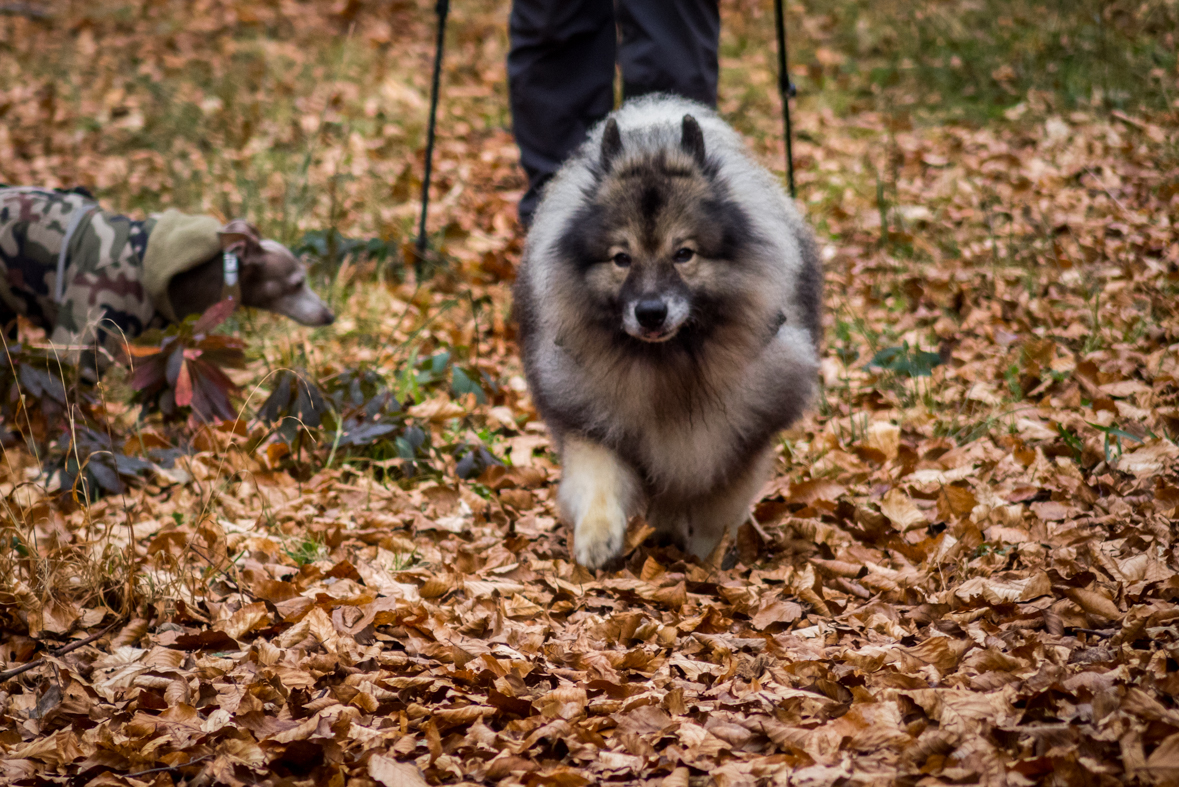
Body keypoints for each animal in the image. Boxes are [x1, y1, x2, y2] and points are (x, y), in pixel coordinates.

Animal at [511, 95, 825, 567]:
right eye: (621, 258)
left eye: (684, 254)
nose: (651, 312)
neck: (669, 364)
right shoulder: (590, 417)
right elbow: (597, 476)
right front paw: (597, 539)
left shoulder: (740, 438)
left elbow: (718, 502)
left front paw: (708, 555)